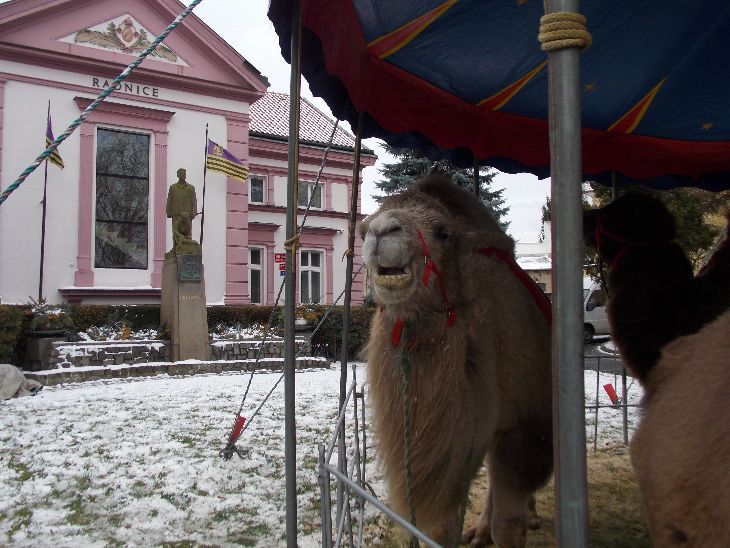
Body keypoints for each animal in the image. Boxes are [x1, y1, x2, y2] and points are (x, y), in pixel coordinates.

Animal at [361, 175, 552, 547]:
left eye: (443, 232)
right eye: (363, 228)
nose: (379, 231)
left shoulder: (524, 427)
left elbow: (509, 524)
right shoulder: (460, 446)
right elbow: (441, 528)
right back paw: (478, 532)